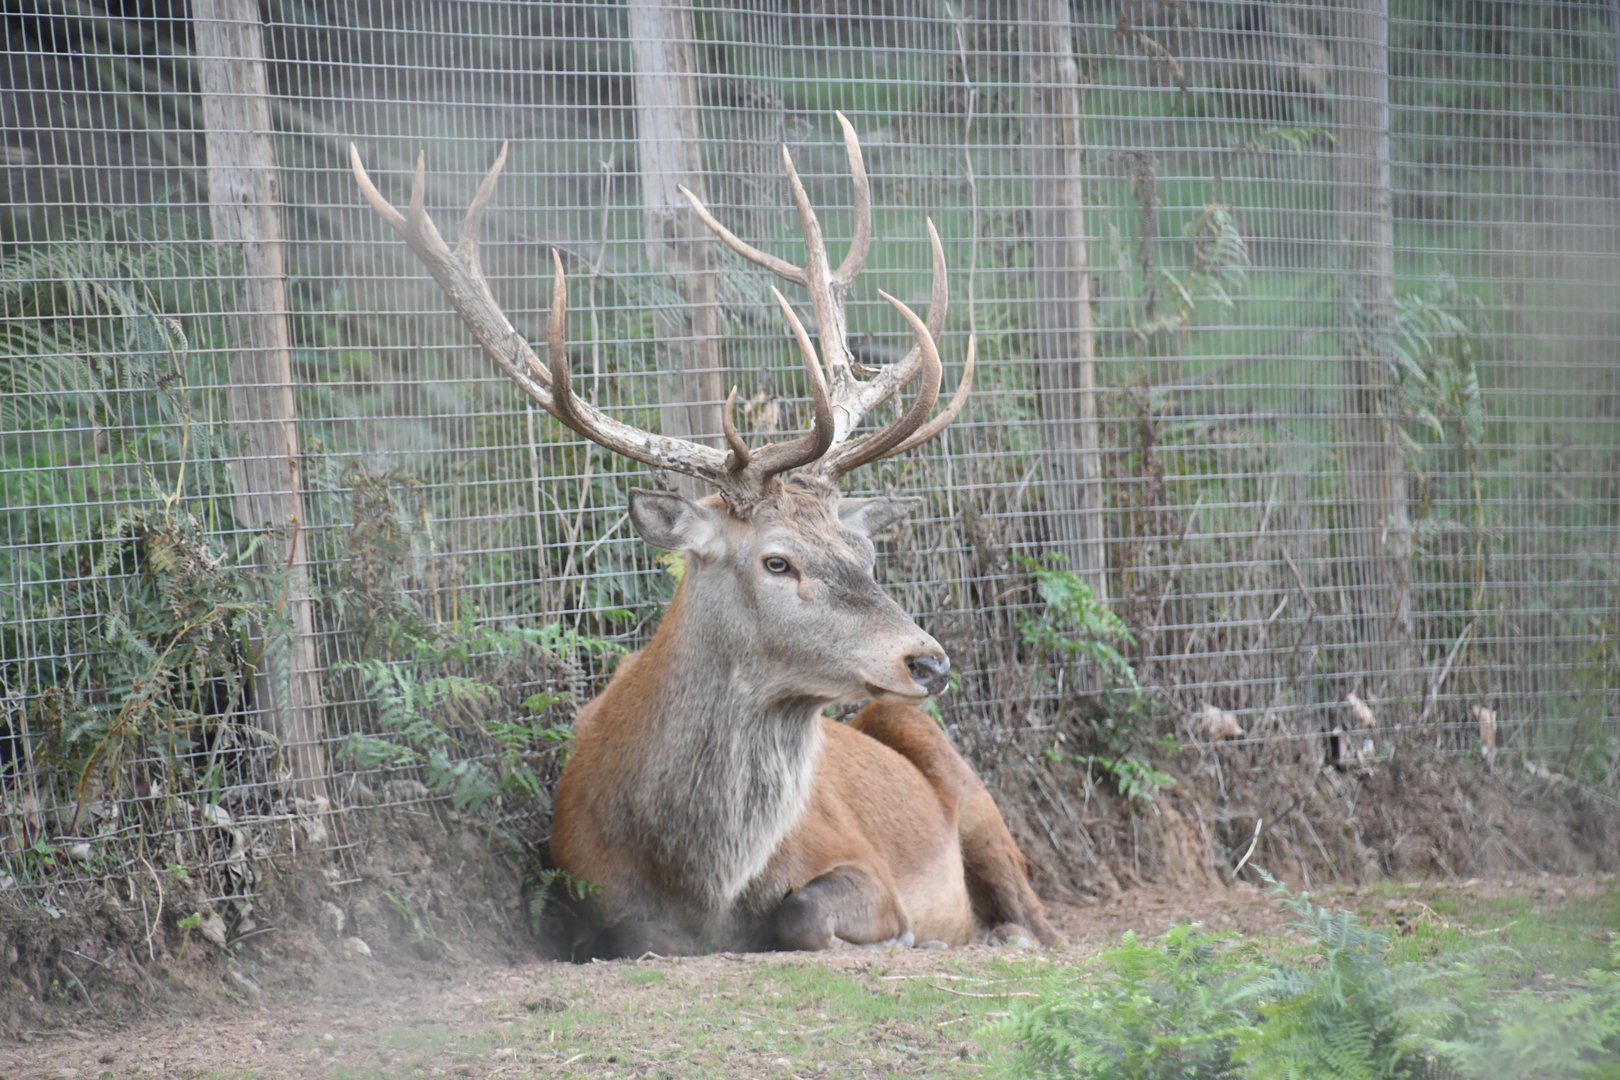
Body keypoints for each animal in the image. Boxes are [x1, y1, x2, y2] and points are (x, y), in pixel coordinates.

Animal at [350, 113, 1058, 958]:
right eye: (777, 562)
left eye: (865, 554)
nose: (928, 659)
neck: (700, 880)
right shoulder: (595, 900)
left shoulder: (866, 869)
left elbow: (801, 913)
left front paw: (897, 940)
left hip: (959, 777)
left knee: (1040, 917)